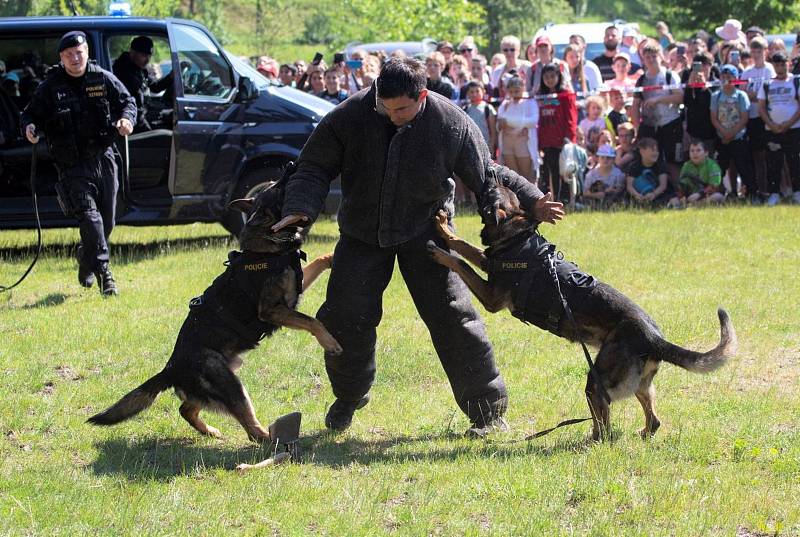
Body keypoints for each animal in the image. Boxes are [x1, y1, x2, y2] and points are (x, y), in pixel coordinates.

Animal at [89, 182, 342, 442]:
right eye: (278, 187)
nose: (288, 171)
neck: (268, 246)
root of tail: (170, 368)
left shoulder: (294, 290)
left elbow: (318, 262)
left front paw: (332, 256)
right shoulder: (271, 309)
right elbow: (312, 321)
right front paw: (330, 343)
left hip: (220, 381)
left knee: (186, 409)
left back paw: (210, 431)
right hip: (230, 384)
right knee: (250, 428)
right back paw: (271, 438)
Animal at [424, 187, 736, 440]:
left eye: (491, 195)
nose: (489, 172)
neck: (517, 238)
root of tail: (654, 338)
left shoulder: (491, 296)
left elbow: (462, 259)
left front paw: (440, 246)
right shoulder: (488, 264)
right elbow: (466, 248)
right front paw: (444, 231)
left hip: (596, 383)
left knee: (605, 428)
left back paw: (592, 441)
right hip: (637, 386)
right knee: (652, 420)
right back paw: (639, 433)